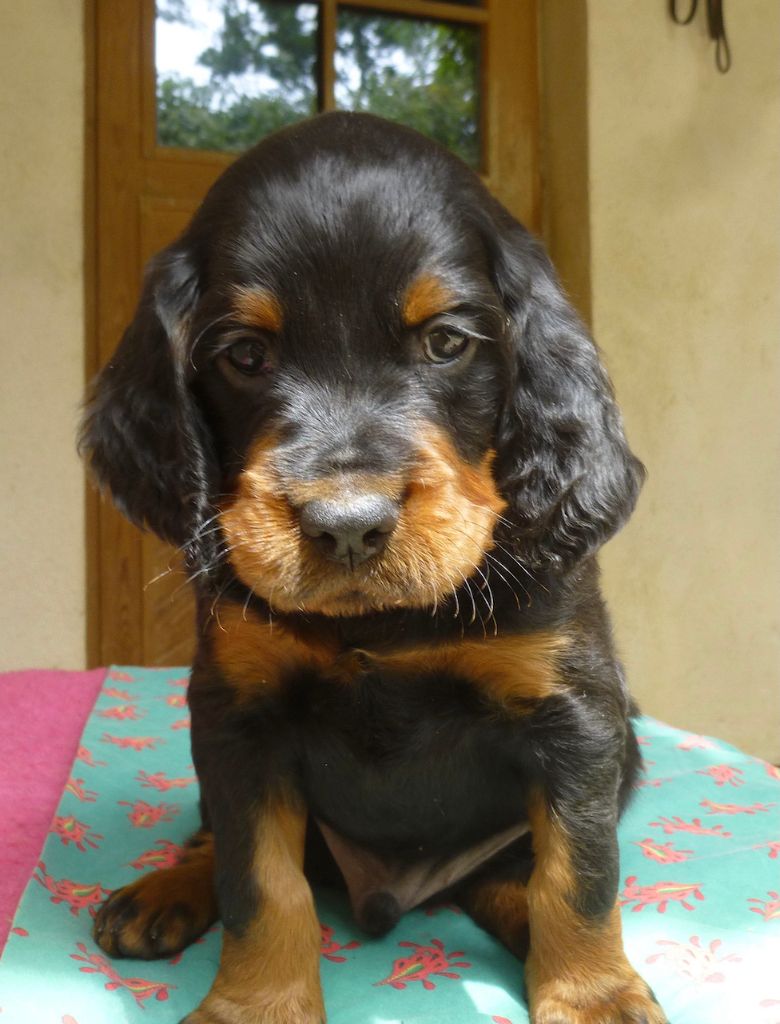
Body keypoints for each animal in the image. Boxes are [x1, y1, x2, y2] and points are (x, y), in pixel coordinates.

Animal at [80, 112, 663, 1024]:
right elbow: (260, 879)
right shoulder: (237, 716)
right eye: (244, 354)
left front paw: (594, 996)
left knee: (512, 881)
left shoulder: (576, 719)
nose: (348, 528)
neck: (385, 624)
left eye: (447, 342)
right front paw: (257, 1004)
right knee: (216, 838)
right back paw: (165, 892)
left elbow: (579, 874)